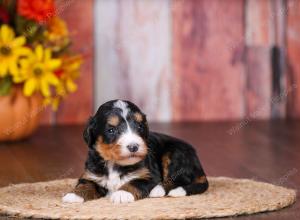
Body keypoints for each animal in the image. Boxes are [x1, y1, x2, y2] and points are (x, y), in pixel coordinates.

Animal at [62, 99, 209, 203]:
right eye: (111, 130)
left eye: (139, 126)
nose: (133, 146)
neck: (114, 164)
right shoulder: (91, 174)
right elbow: (85, 184)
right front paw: (74, 195)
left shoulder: (149, 175)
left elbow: (135, 182)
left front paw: (122, 193)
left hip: (174, 154)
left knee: (179, 180)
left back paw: (158, 190)